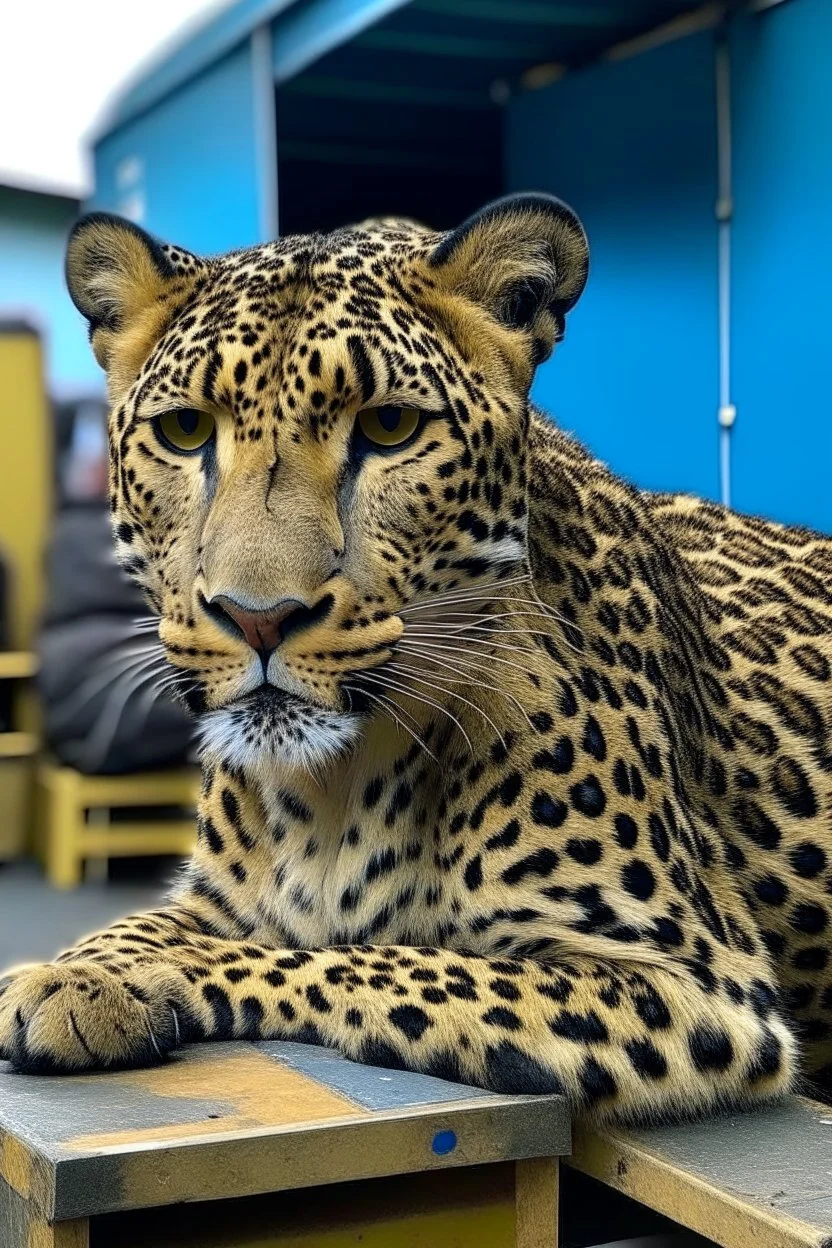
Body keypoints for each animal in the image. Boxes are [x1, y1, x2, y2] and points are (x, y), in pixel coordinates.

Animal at [1, 187, 832, 1133]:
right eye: (183, 431)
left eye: (389, 426)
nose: (258, 618)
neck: (326, 795)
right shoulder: (213, 897)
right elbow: (157, 922)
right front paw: (79, 970)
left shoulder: (691, 982)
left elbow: (373, 956)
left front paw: (147, 975)